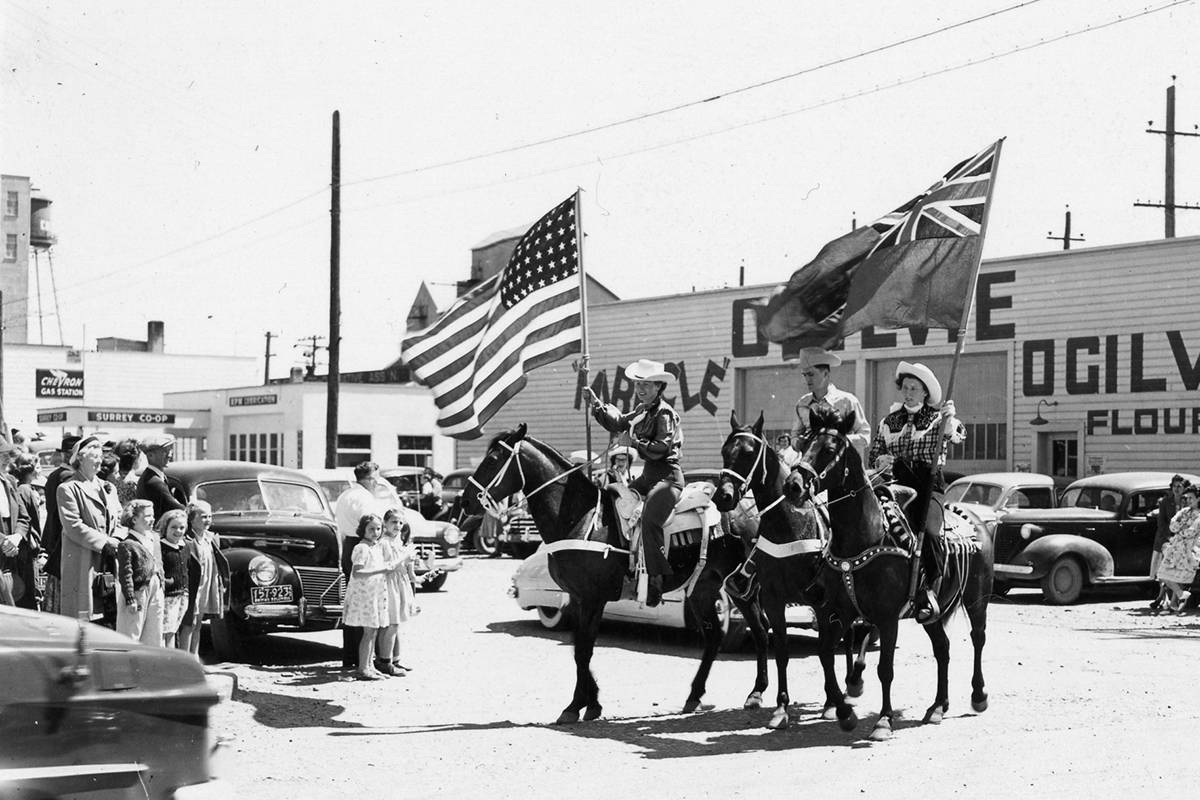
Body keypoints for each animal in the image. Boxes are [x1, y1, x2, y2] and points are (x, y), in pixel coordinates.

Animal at [463, 424, 772, 724]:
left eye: (493, 459)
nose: (465, 502)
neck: (582, 517)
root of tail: (749, 508)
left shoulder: (593, 598)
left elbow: (584, 650)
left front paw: (577, 706)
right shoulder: (577, 598)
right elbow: (578, 649)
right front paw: (589, 703)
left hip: (737, 585)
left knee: (758, 629)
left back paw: (755, 693)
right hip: (703, 588)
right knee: (715, 637)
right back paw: (695, 696)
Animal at [710, 412, 873, 734]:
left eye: (749, 453)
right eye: (724, 451)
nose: (723, 497)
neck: (788, 524)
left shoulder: (821, 602)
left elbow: (825, 650)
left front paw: (831, 703)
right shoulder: (774, 599)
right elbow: (781, 651)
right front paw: (781, 708)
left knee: (846, 638)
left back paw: (849, 687)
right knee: (763, 635)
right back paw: (757, 693)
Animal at [787, 407, 993, 743]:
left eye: (829, 449)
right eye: (804, 444)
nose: (792, 485)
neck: (865, 536)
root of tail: (978, 520)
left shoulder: (887, 618)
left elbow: (885, 668)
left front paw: (883, 721)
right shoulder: (837, 612)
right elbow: (825, 656)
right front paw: (845, 713)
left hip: (977, 599)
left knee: (978, 638)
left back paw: (978, 696)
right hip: (932, 614)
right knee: (943, 649)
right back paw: (938, 706)